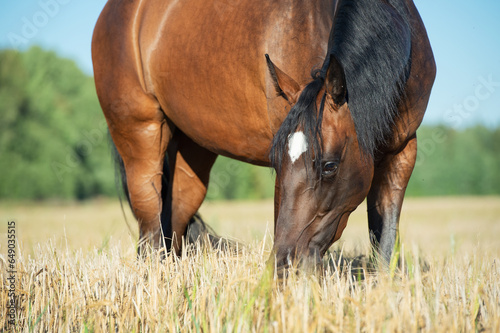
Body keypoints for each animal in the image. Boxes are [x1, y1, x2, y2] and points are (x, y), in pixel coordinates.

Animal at [93, 0, 434, 268]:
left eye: (329, 166)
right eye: (277, 161)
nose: (286, 262)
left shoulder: (402, 151)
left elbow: (384, 239)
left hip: (193, 150)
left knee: (174, 219)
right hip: (141, 133)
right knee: (150, 228)